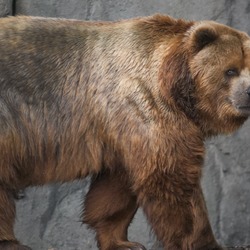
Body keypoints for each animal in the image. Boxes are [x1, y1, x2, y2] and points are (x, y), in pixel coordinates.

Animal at [0, 14, 250, 250]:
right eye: (231, 70)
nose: (248, 92)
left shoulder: (122, 131)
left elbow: (116, 188)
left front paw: (123, 242)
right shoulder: (143, 103)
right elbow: (171, 177)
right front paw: (206, 242)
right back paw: (11, 242)